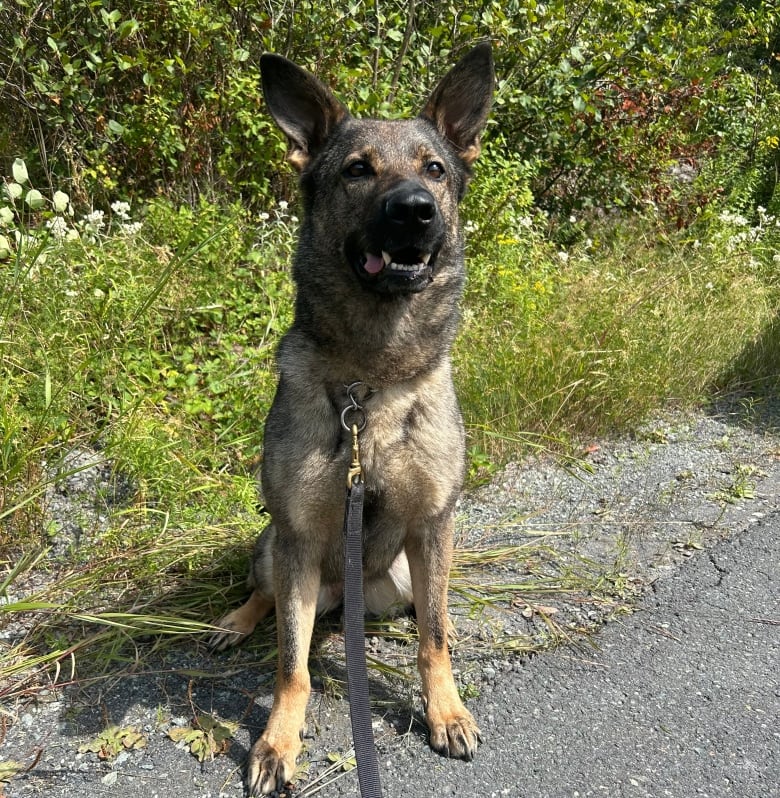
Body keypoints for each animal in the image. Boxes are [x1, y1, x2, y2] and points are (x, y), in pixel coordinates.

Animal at [209, 45, 494, 798]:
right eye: (358, 170)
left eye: (434, 169)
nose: (415, 212)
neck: (374, 381)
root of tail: (343, 599)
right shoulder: (300, 536)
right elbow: (291, 666)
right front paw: (277, 743)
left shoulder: (434, 524)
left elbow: (435, 639)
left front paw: (445, 710)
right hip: (274, 548)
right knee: (273, 601)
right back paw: (236, 620)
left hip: (401, 575)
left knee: (414, 612)